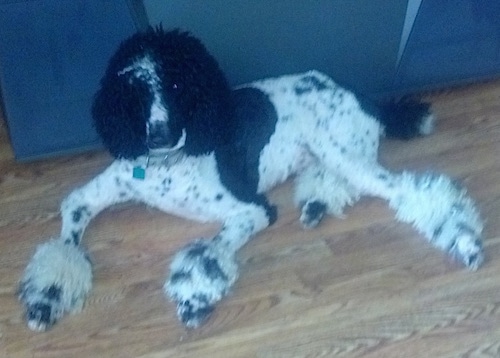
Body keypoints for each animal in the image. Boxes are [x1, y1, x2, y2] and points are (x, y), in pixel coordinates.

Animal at [19, 26, 484, 332]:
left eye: (176, 84)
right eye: (134, 89)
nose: (159, 135)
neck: (169, 165)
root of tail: (360, 94)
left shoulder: (253, 209)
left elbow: (209, 252)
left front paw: (194, 296)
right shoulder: (88, 198)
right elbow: (67, 240)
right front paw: (46, 299)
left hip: (343, 152)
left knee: (414, 189)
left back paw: (465, 243)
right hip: (333, 156)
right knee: (338, 180)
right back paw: (316, 204)